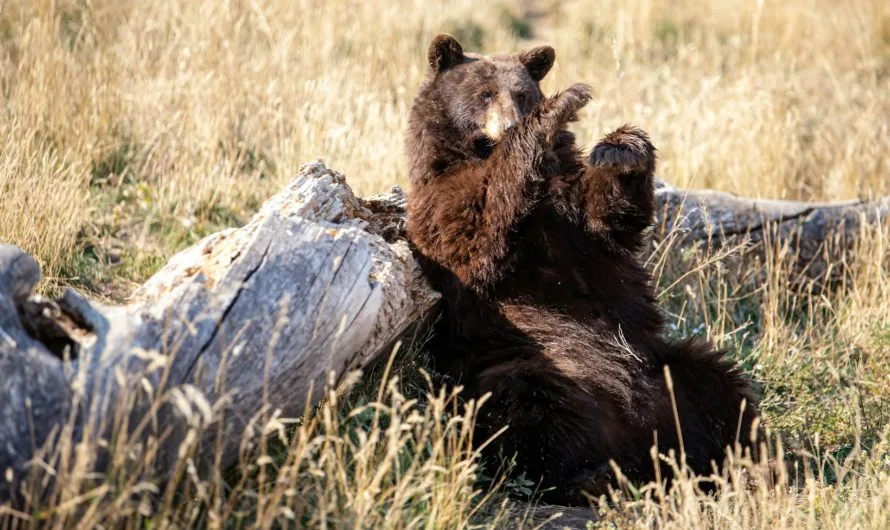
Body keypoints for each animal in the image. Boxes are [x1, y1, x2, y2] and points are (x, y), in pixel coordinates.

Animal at [405, 34, 760, 504]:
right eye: (484, 94)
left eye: (521, 93)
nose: (509, 123)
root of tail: (636, 437)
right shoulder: (444, 203)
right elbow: (478, 230)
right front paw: (563, 103)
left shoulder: (567, 211)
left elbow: (605, 218)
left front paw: (623, 148)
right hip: (534, 363)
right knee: (526, 405)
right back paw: (589, 477)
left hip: (664, 369)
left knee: (718, 388)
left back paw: (746, 462)